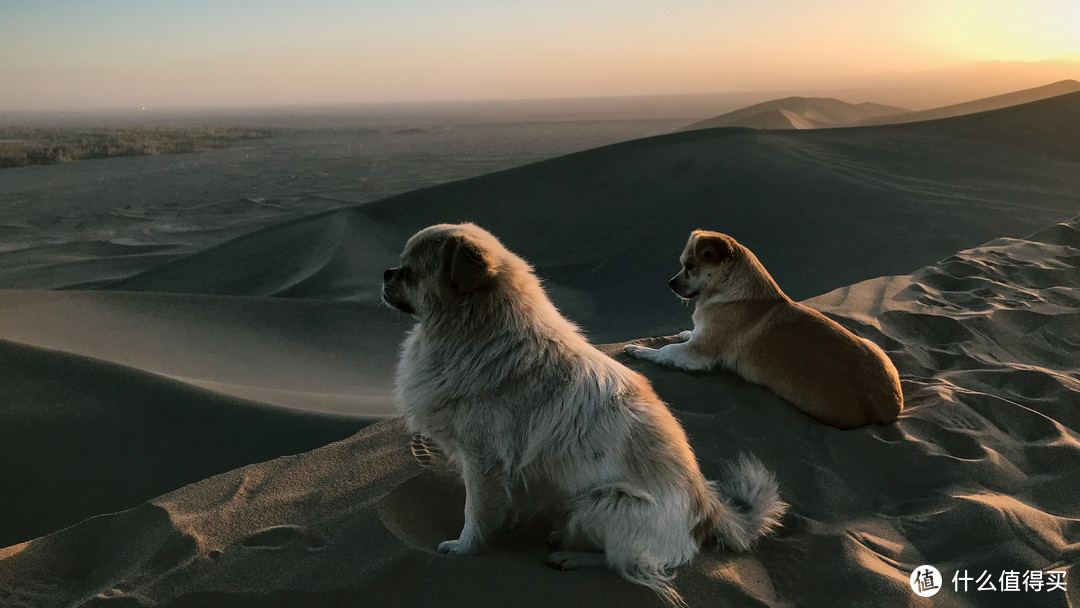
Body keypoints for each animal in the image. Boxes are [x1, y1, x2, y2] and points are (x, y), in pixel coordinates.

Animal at [384, 223, 790, 604]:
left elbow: (476, 511)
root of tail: (707, 509)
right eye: (400, 267)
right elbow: (501, 501)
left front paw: (464, 549)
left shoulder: (482, 459)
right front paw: (505, 522)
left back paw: (570, 555)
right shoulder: (498, 467)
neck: (478, 331)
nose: (387, 272)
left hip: (602, 504)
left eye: (410, 272)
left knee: (623, 562)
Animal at [626, 231, 902, 429]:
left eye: (690, 266)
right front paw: (685, 332)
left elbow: (666, 350)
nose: (670, 283)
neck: (730, 289)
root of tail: (893, 405)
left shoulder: (697, 354)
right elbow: (689, 335)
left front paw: (639, 350)